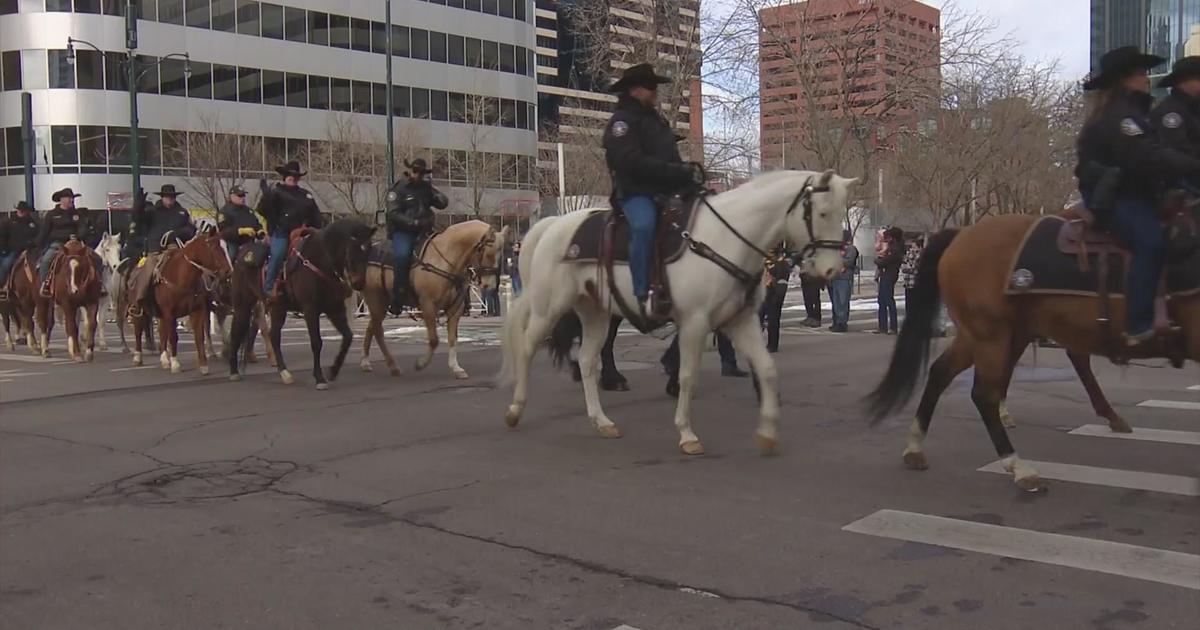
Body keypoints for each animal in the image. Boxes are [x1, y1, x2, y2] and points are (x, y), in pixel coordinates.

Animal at [133, 232, 231, 376]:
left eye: (226, 246)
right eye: (213, 247)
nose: (228, 271)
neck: (183, 277)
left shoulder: (198, 311)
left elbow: (199, 336)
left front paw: (203, 365)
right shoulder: (170, 314)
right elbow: (173, 337)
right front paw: (175, 364)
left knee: (161, 332)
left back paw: (164, 360)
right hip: (139, 310)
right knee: (138, 330)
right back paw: (138, 357)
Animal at [264, 219, 372, 388]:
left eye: (368, 251)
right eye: (351, 250)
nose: (358, 283)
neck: (320, 262)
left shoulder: (335, 308)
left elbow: (348, 336)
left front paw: (333, 370)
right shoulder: (310, 309)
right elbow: (316, 342)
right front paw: (319, 378)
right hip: (275, 308)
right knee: (273, 336)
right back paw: (284, 373)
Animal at [355, 220, 506, 379]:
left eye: (500, 255)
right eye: (488, 253)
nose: (489, 285)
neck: (446, 259)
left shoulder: (455, 309)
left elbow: (453, 338)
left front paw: (456, 368)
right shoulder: (428, 305)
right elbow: (434, 340)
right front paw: (421, 364)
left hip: (380, 304)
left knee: (371, 328)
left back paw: (367, 362)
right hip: (375, 300)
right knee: (377, 331)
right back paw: (391, 365)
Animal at [496, 168, 854, 451]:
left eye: (842, 213)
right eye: (822, 213)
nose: (832, 270)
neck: (723, 240)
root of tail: (552, 225)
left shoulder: (740, 321)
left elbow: (766, 368)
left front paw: (767, 432)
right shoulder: (695, 322)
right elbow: (687, 375)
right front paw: (686, 433)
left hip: (596, 312)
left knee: (586, 360)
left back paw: (602, 421)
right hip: (549, 308)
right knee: (527, 347)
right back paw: (514, 409)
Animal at [868, 213, 1195, 494]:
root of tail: (962, 234)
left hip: (988, 334)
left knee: (943, 373)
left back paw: (916, 447)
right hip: (991, 333)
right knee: (983, 392)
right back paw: (1019, 467)